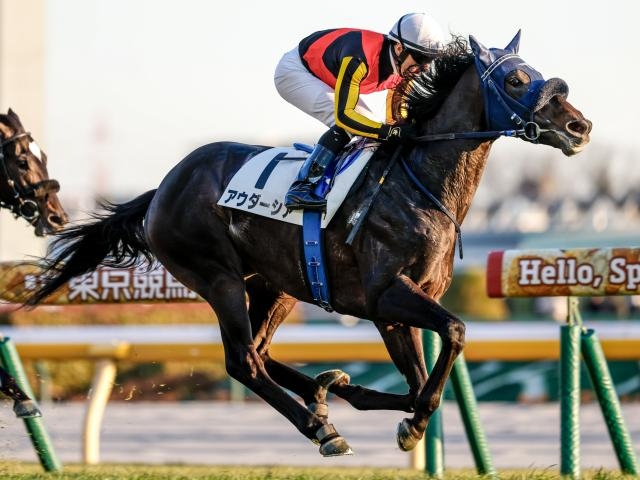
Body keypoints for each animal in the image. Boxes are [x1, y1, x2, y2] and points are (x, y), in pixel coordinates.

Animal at [25, 32, 591, 455]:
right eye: (516, 79)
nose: (579, 125)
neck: (419, 183)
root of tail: (163, 188)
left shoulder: (396, 308)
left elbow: (416, 384)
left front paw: (377, 405)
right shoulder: (388, 294)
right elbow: (453, 333)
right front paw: (409, 424)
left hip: (275, 285)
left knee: (259, 351)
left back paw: (325, 391)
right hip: (217, 276)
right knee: (242, 362)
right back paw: (321, 427)